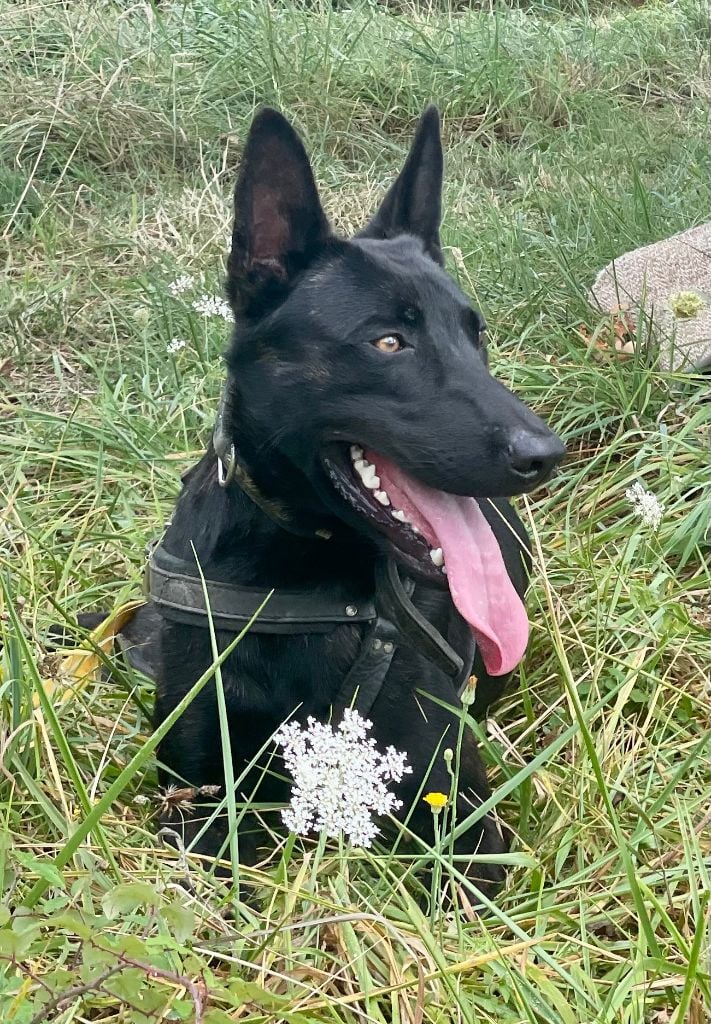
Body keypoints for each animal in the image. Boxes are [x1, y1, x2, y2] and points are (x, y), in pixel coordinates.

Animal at [145, 105, 565, 896]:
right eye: (389, 342)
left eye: (474, 337)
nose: (544, 456)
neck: (301, 580)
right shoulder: (197, 802)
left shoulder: (460, 824)